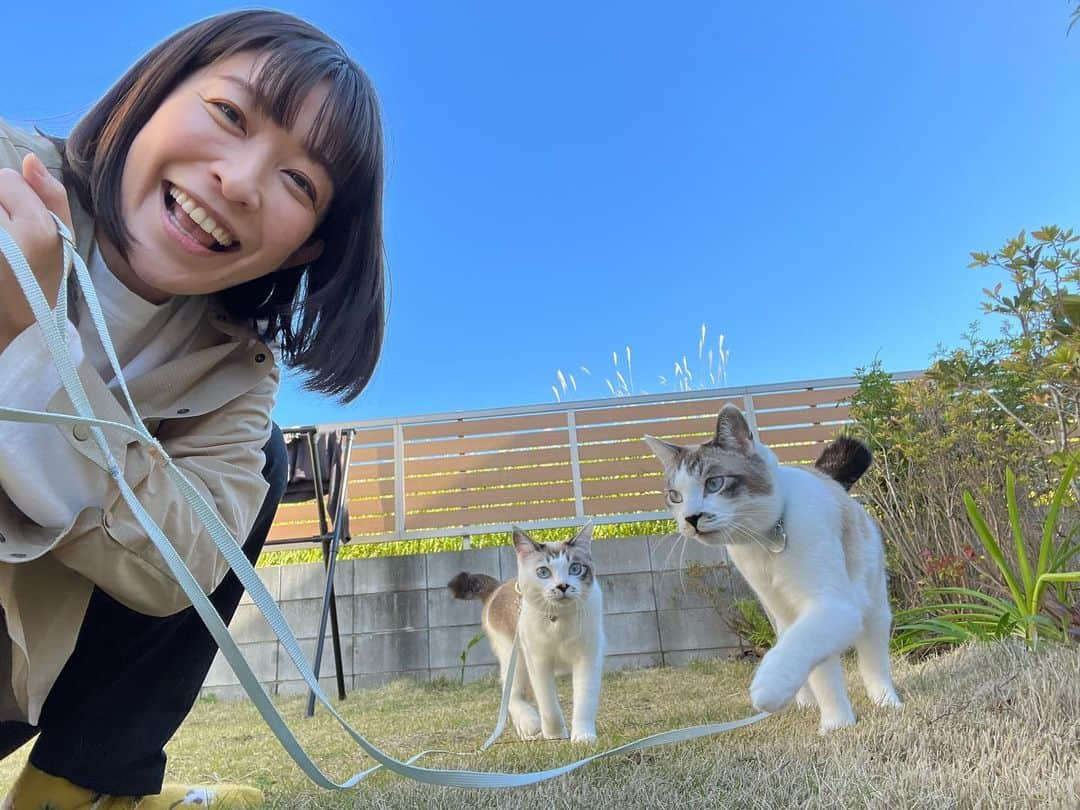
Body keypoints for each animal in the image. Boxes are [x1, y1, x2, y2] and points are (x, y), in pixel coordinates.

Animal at [442, 527, 604, 747]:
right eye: (543, 572)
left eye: (575, 568)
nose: (562, 586)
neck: (559, 622)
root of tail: (498, 587)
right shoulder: (538, 661)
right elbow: (548, 704)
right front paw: (554, 734)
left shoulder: (588, 657)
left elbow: (585, 700)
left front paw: (583, 737)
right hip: (515, 657)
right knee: (511, 694)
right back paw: (531, 724)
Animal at [643, 408, 898, 734]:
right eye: (675, 496)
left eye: (714, 483)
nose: (691, 518)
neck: (766, 542)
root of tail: (826, 477)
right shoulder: (791, 613)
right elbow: (822, 674)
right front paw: (836, 724)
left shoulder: (832, 607)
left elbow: (799, 647)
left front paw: (769, 690)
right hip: (779, 616)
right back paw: (805, 702)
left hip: (873, 607)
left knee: (873, 661)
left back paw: (887, 701)